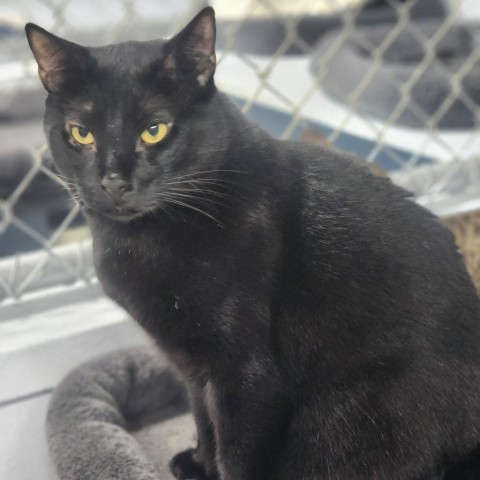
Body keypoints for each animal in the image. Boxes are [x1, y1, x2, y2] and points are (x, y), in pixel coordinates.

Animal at [27, 7, 480, 480]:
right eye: (80, 133)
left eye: (155, 130)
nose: (113, 181)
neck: (139, 243)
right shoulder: (191, 366)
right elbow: (203, 419)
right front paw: (199, 465)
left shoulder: (245, 372)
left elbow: (238, 450)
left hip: (342, 422)